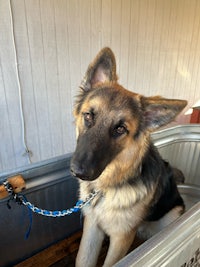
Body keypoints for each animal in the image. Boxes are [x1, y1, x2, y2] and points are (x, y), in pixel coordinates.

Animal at [70, 47, 188, 266]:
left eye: (120, 129)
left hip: (172, 214)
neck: (107, 188)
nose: (79, 172)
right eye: (88, 116)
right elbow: (83, 259)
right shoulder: (92, 227)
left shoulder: (121, 237)